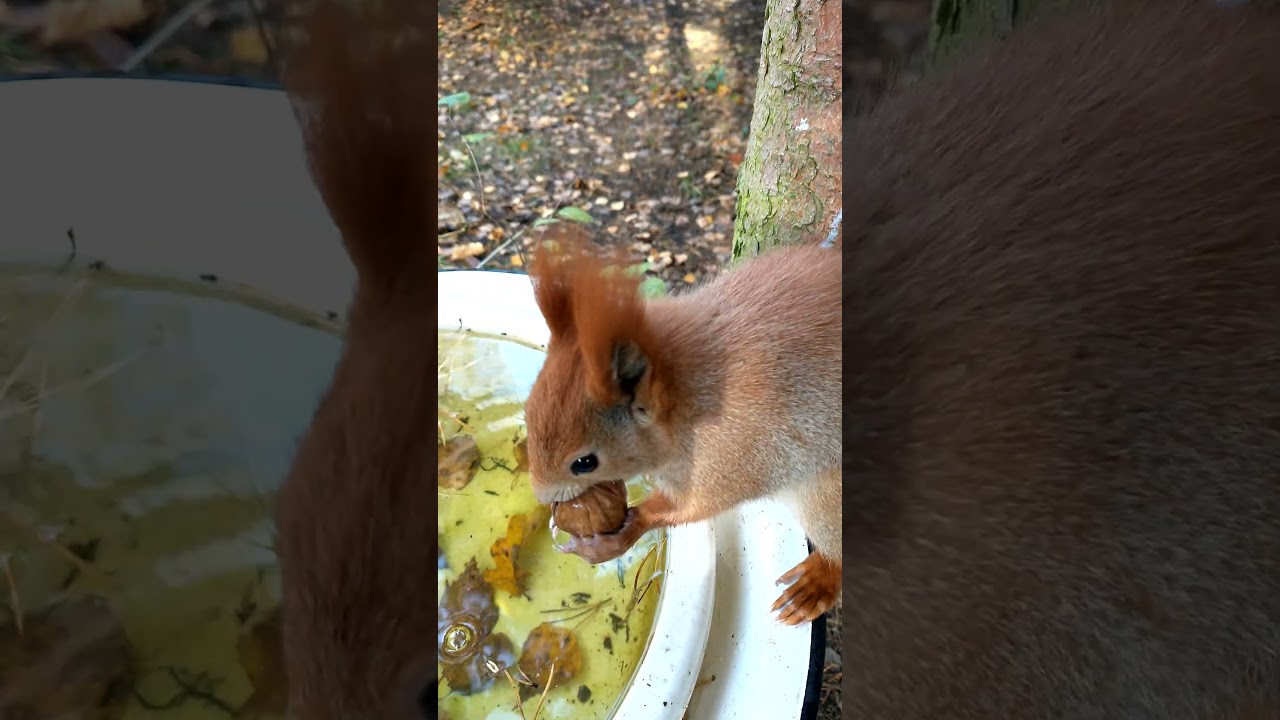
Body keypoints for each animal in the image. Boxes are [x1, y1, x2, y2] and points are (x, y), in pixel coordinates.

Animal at [522, 223, 842, 626]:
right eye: (527, 410)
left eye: (584, 463)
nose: (540, 495)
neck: (687, 403)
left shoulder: (733, 456)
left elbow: (693, 507)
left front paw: (618, 536)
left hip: (826, 496)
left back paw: (816, 583)